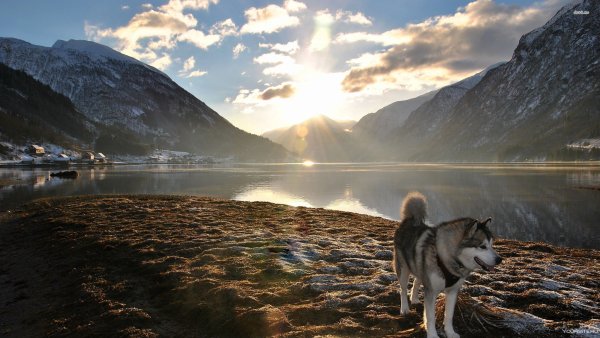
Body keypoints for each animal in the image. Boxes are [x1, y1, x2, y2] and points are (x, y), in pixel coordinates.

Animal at [394, 193, 502, 338]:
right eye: (482, 246)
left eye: (491, 245)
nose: (499, 259)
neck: (448, 257)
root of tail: (410, 220)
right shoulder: (431, 291)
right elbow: (430, 317)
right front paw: (432, 335)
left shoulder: (453, 291)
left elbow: (449, 315)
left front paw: (450, 332)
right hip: (403, 268)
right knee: (403, 288)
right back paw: (405, 308)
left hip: (420, 267)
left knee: (417, 281)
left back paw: (415, 298)